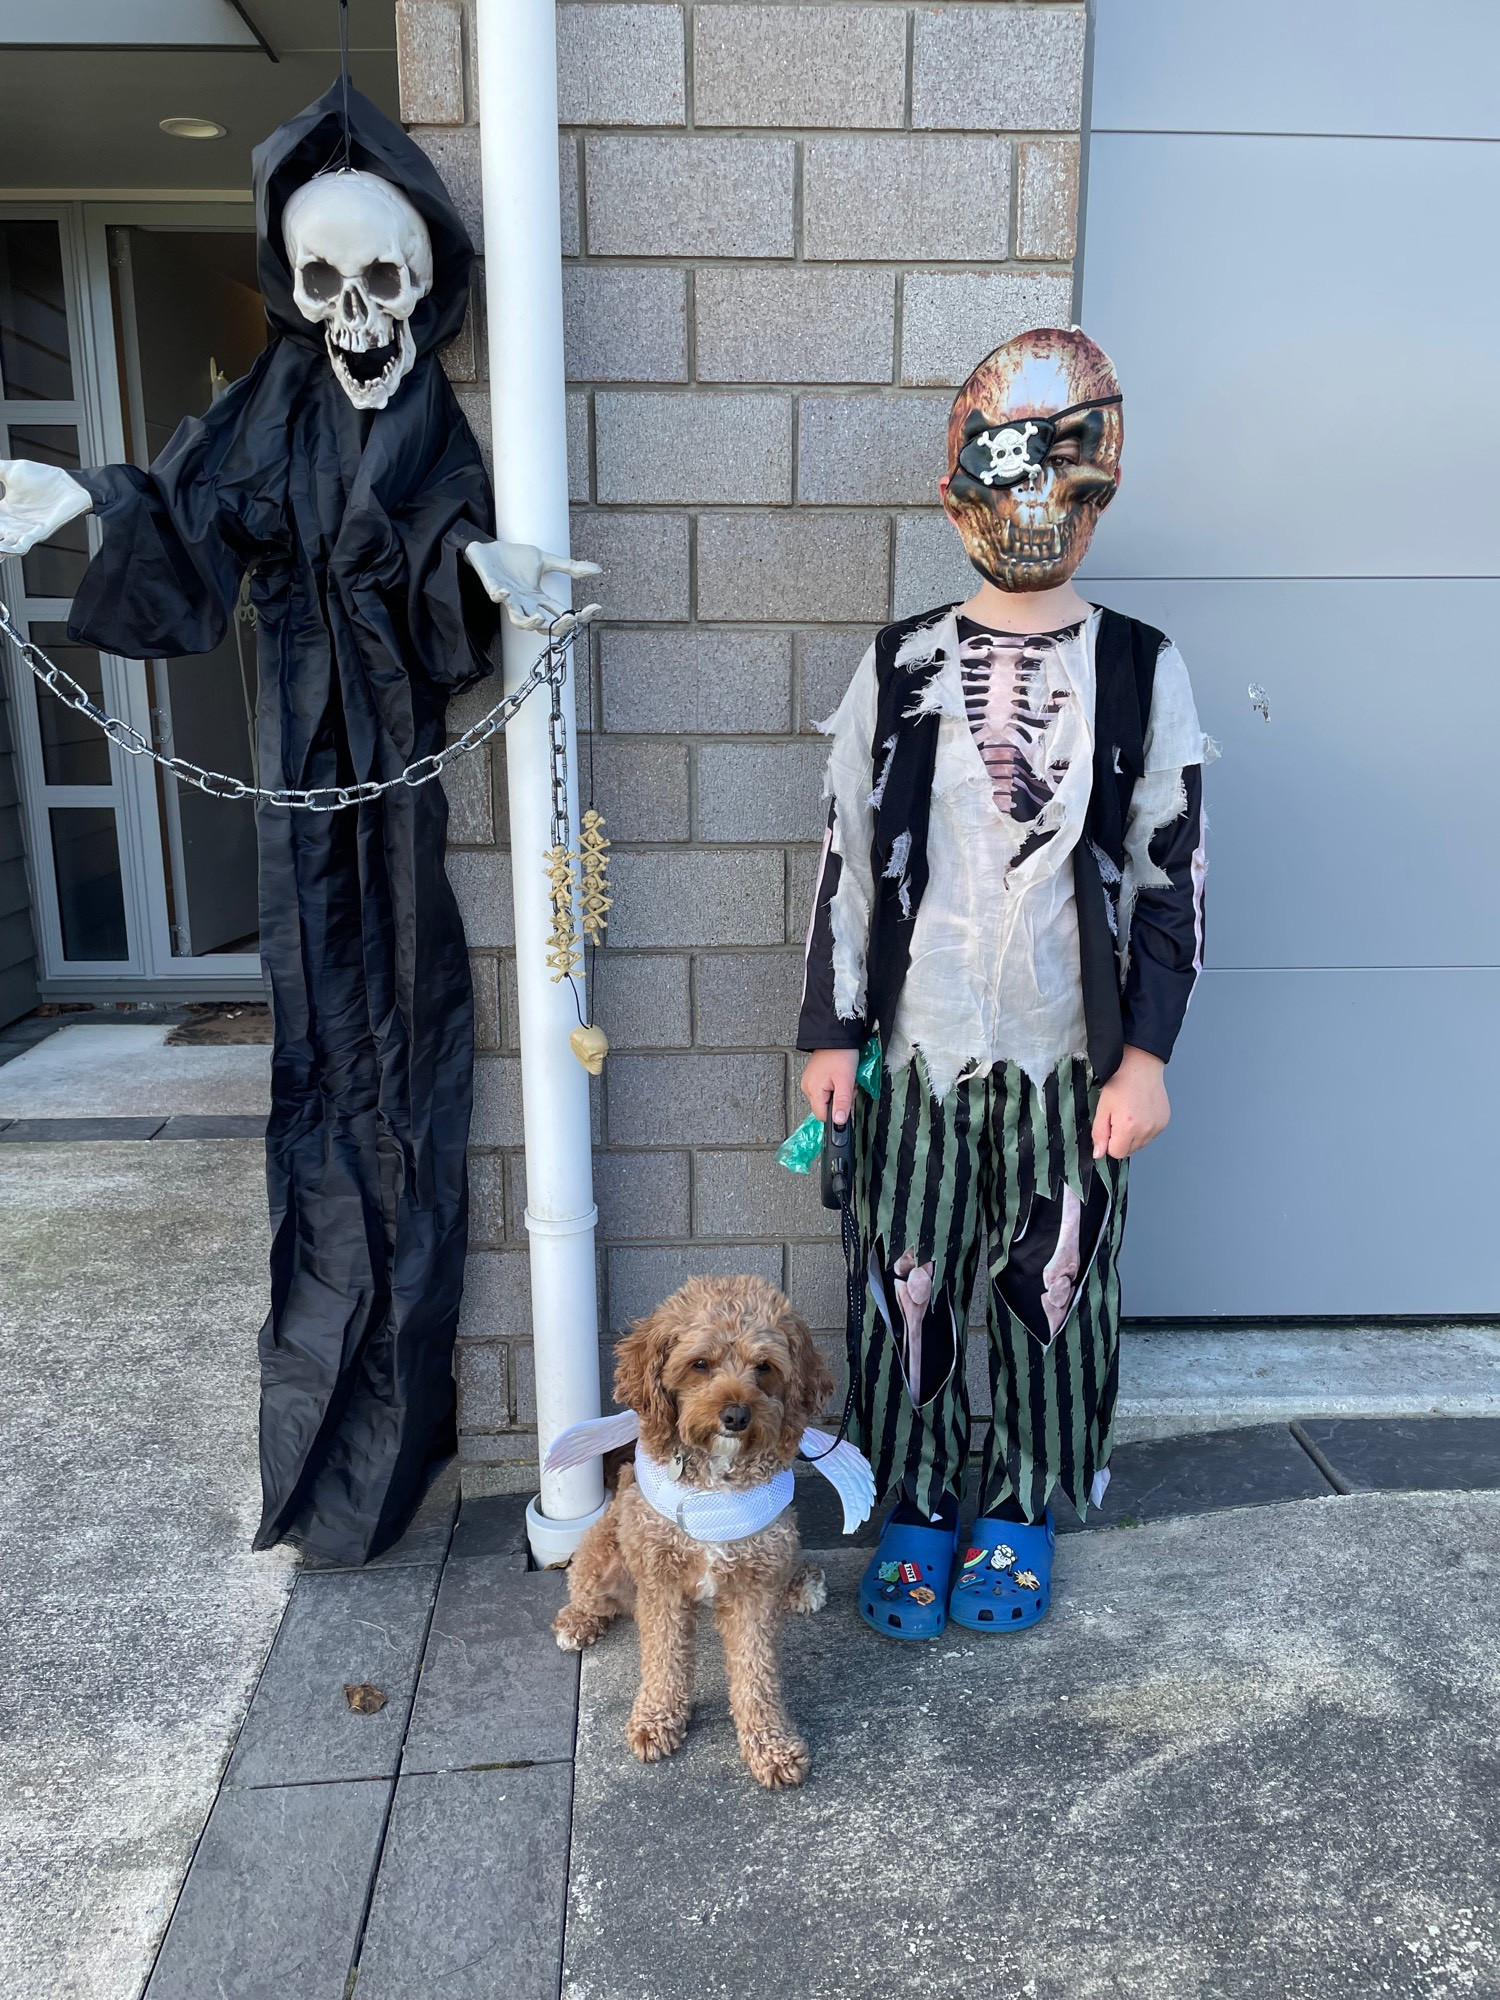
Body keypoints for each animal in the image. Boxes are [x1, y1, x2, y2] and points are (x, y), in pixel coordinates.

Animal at [556, 1280, 836, 1800]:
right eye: (700, 1363)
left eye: (764, 1367)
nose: (736, 1415)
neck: (716, 1479)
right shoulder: (660, 1580)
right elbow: (664, 1659)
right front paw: (656, 1720)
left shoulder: (753, 1586)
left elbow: (756, 1674)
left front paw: (771, 1746)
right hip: (608, 1548)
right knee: (587, 1586)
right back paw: (577, 1620)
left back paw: (801, 1585)